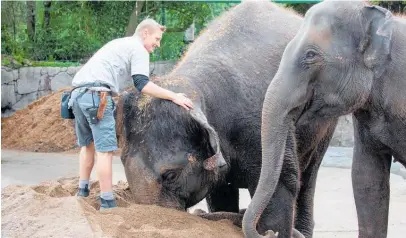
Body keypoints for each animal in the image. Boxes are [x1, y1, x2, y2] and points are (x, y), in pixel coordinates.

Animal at [116, 0, 334, 237]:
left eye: (171, 176)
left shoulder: (262, 123)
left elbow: (281, 184)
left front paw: (272, 230)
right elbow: (220, 191)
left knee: (308, 176)